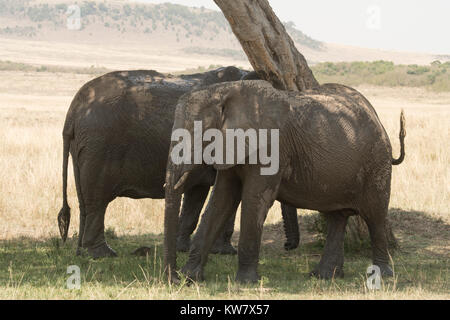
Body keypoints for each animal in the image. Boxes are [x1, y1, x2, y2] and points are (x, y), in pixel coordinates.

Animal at [58, 66, 300, 258]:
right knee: (98, 200)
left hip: (85, 147)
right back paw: (103, 254)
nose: (288, 246)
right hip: (99, 146)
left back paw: (82, 252)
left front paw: (183, 248)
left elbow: (197, 194)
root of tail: (73, 110)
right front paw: (225, 252)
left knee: (85, 201)